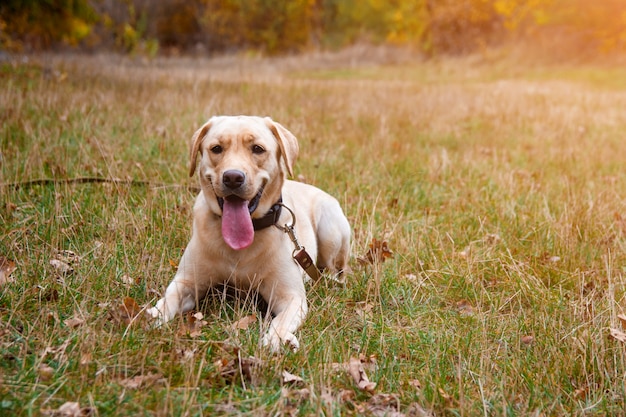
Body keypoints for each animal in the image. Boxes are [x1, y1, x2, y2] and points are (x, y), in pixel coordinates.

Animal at [147, 114, 352, 352]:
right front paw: (152, 316)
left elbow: (280, 321)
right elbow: (167, 300)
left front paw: (276, 340)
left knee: (335, 270)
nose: (233, 178)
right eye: (216, 148)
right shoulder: (186, 282)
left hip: (331, 228)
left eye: (257, 149)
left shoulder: (290, 297)